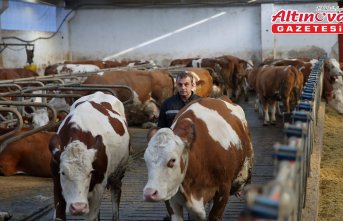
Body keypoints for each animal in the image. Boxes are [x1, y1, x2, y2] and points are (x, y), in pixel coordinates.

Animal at [47, 91, 130, 221]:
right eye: (63, 173)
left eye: (90, 172)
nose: (78, 207)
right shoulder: (56, 183)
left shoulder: (99, 186)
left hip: (118, 172)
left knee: (116, 194)